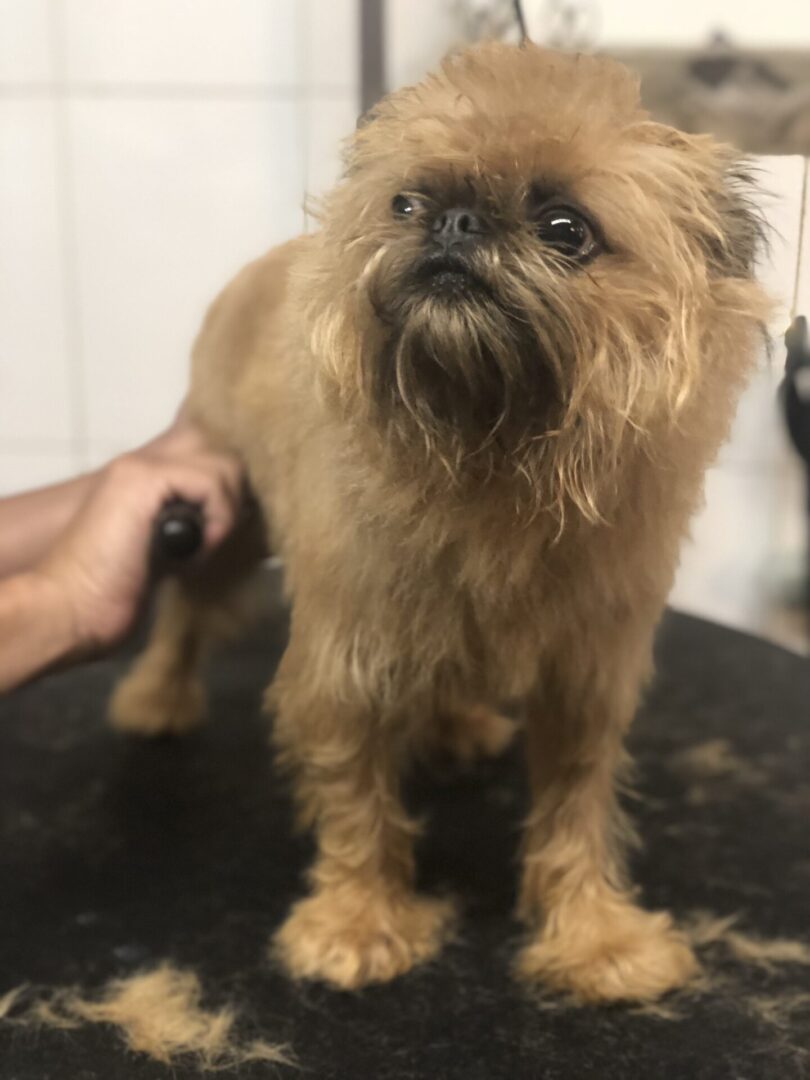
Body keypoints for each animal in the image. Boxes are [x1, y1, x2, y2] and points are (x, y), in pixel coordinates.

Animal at [106, 42, 768, 1002]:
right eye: (406, 204)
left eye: (566, 228)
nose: (453, 223)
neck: (490, 452)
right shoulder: (345, 661)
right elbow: (356, 799)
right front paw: (356, 921)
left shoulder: (584, 680)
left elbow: (576, 810)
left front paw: (593, 936)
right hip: (225, 518)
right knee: (188, 610)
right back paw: (157, 696)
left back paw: (458, 725)